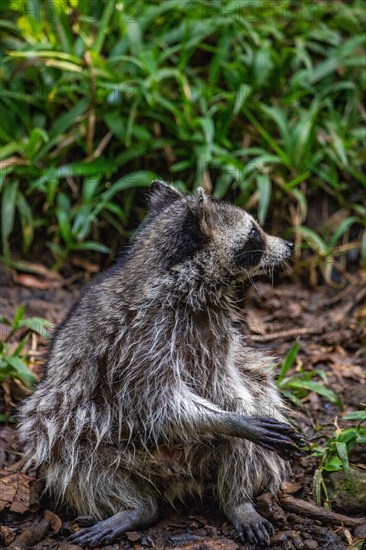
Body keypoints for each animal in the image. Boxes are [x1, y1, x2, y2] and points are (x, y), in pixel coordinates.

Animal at [19, 183, 306, 548]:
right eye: (255, 233)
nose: (290, 245)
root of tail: (177, 479)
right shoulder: (139, 343)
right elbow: (158, 404)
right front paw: (234, 420)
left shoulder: (213, 333)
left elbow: (226, 383)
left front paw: (241, 413)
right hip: (63, 420)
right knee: (71, 448)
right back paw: (137, 506)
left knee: (250, 413)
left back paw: (237, 500)